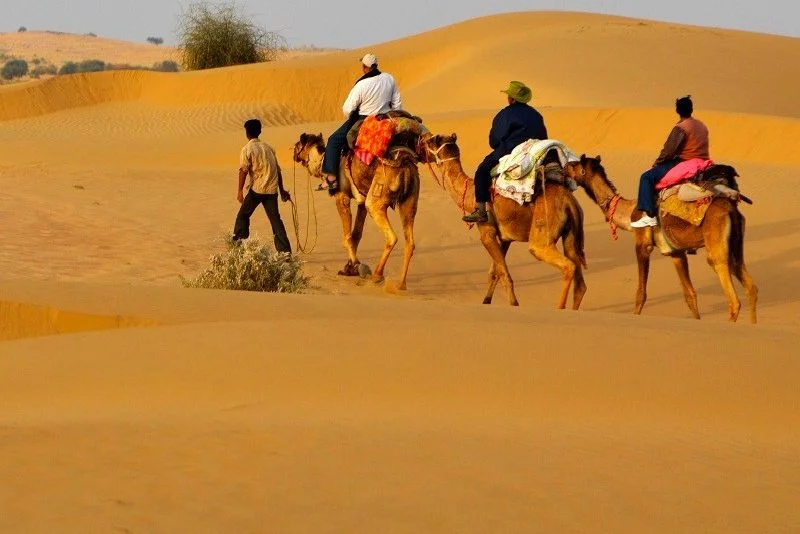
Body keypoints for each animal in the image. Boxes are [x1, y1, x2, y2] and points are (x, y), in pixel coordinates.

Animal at [292, 134, 418, 292]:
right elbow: (356, 234)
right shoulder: (361, 202)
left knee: (391, 237)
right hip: (409, 202)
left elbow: (347, 237)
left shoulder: (342, 198)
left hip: (377, 198)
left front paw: (357, 265)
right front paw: (349, 268)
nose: (293, 154)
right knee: (410, 242)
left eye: (298, 145)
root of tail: (405, 166)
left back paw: (377, 276)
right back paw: (400, 284)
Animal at [424, 134, 588, 310]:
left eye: (433, 140)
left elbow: (503, 272)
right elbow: (494, 272)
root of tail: (569, 202)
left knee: (566, 265)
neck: (469, 195)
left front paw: (514, 304)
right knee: (578, 277)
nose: (423, 140)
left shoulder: (487, 233)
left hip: (543, 229)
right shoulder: (505, 239)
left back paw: (559, 308)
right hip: (571, 232)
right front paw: (486, 301)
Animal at [564, 153, 756, 324]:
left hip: (716, 244)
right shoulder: (676, 253)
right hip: (736, 245)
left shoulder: (642, 245)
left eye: (575, 164)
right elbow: (690, 295)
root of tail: (731, 210)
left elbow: (641, 293)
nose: (565, 167)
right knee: (750, 286)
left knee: (732, 296)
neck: (628, 212)